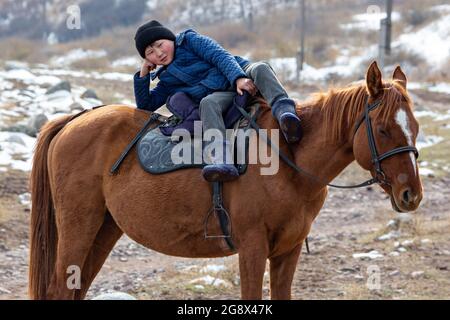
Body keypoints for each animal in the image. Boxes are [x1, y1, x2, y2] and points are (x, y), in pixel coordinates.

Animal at [29, 62, 422, 300]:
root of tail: (73, 120)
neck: (288, 159)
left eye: (415, 128)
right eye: (383, 129)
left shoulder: (288, 251)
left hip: (104, 228)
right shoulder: (252, 247)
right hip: (79, 227)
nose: (411, 195)